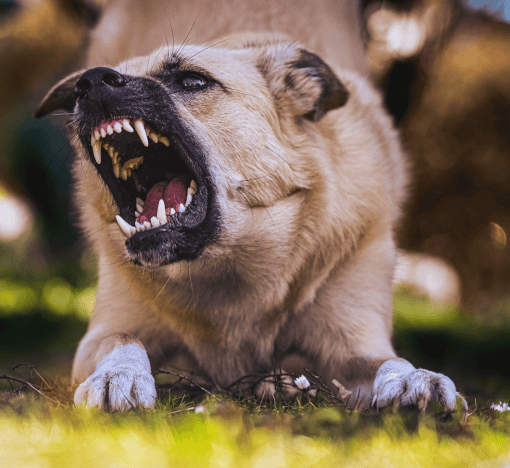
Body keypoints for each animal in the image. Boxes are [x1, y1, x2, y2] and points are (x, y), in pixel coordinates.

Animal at [32, 0, 462, 412]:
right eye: (81, 89)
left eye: (192, 80)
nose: (89, 83)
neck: (228, 267)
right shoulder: (102, 333)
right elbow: (122, 340)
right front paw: (117, 375)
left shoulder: (355, 342)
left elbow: (388, 361)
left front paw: (412, 378)